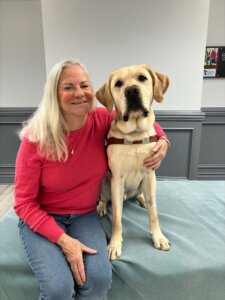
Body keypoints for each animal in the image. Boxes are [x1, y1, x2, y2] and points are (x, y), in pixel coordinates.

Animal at [95, 63, 171, 260]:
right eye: (118, 84)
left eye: (142, 78)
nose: (131, 91)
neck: (135, 135)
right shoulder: (117, 179)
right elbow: (117, 219)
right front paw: (115, 243)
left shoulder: (150, 175)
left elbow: (154, 213)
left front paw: (158, 236)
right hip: (105, 182)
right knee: (105, 199)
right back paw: (101, 206)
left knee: (140, 195)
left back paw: (142, 199)